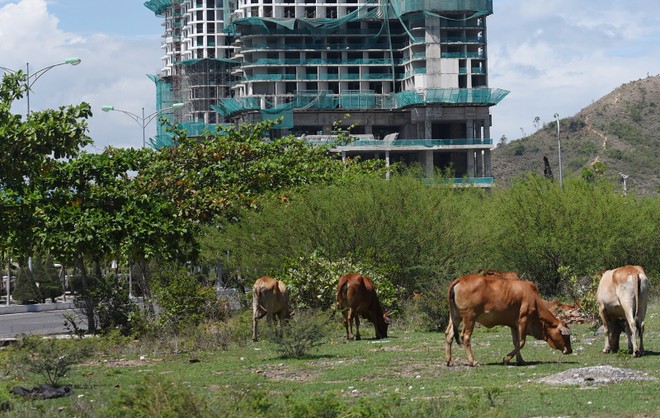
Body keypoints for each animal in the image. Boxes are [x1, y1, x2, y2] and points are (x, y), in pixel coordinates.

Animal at [444, 274, 572, 366]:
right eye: (565, 336)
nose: (570, 350)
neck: (534, 299)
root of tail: (460, 279)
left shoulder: (514, 325)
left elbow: (516, 342)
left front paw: (520, 360)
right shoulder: (523, 319)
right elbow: (522, 342)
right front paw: (506, 359)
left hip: (455, 317)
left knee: (449, 335)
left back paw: (449, 361)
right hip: (469, 318)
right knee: (465, 336)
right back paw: (473, 361)